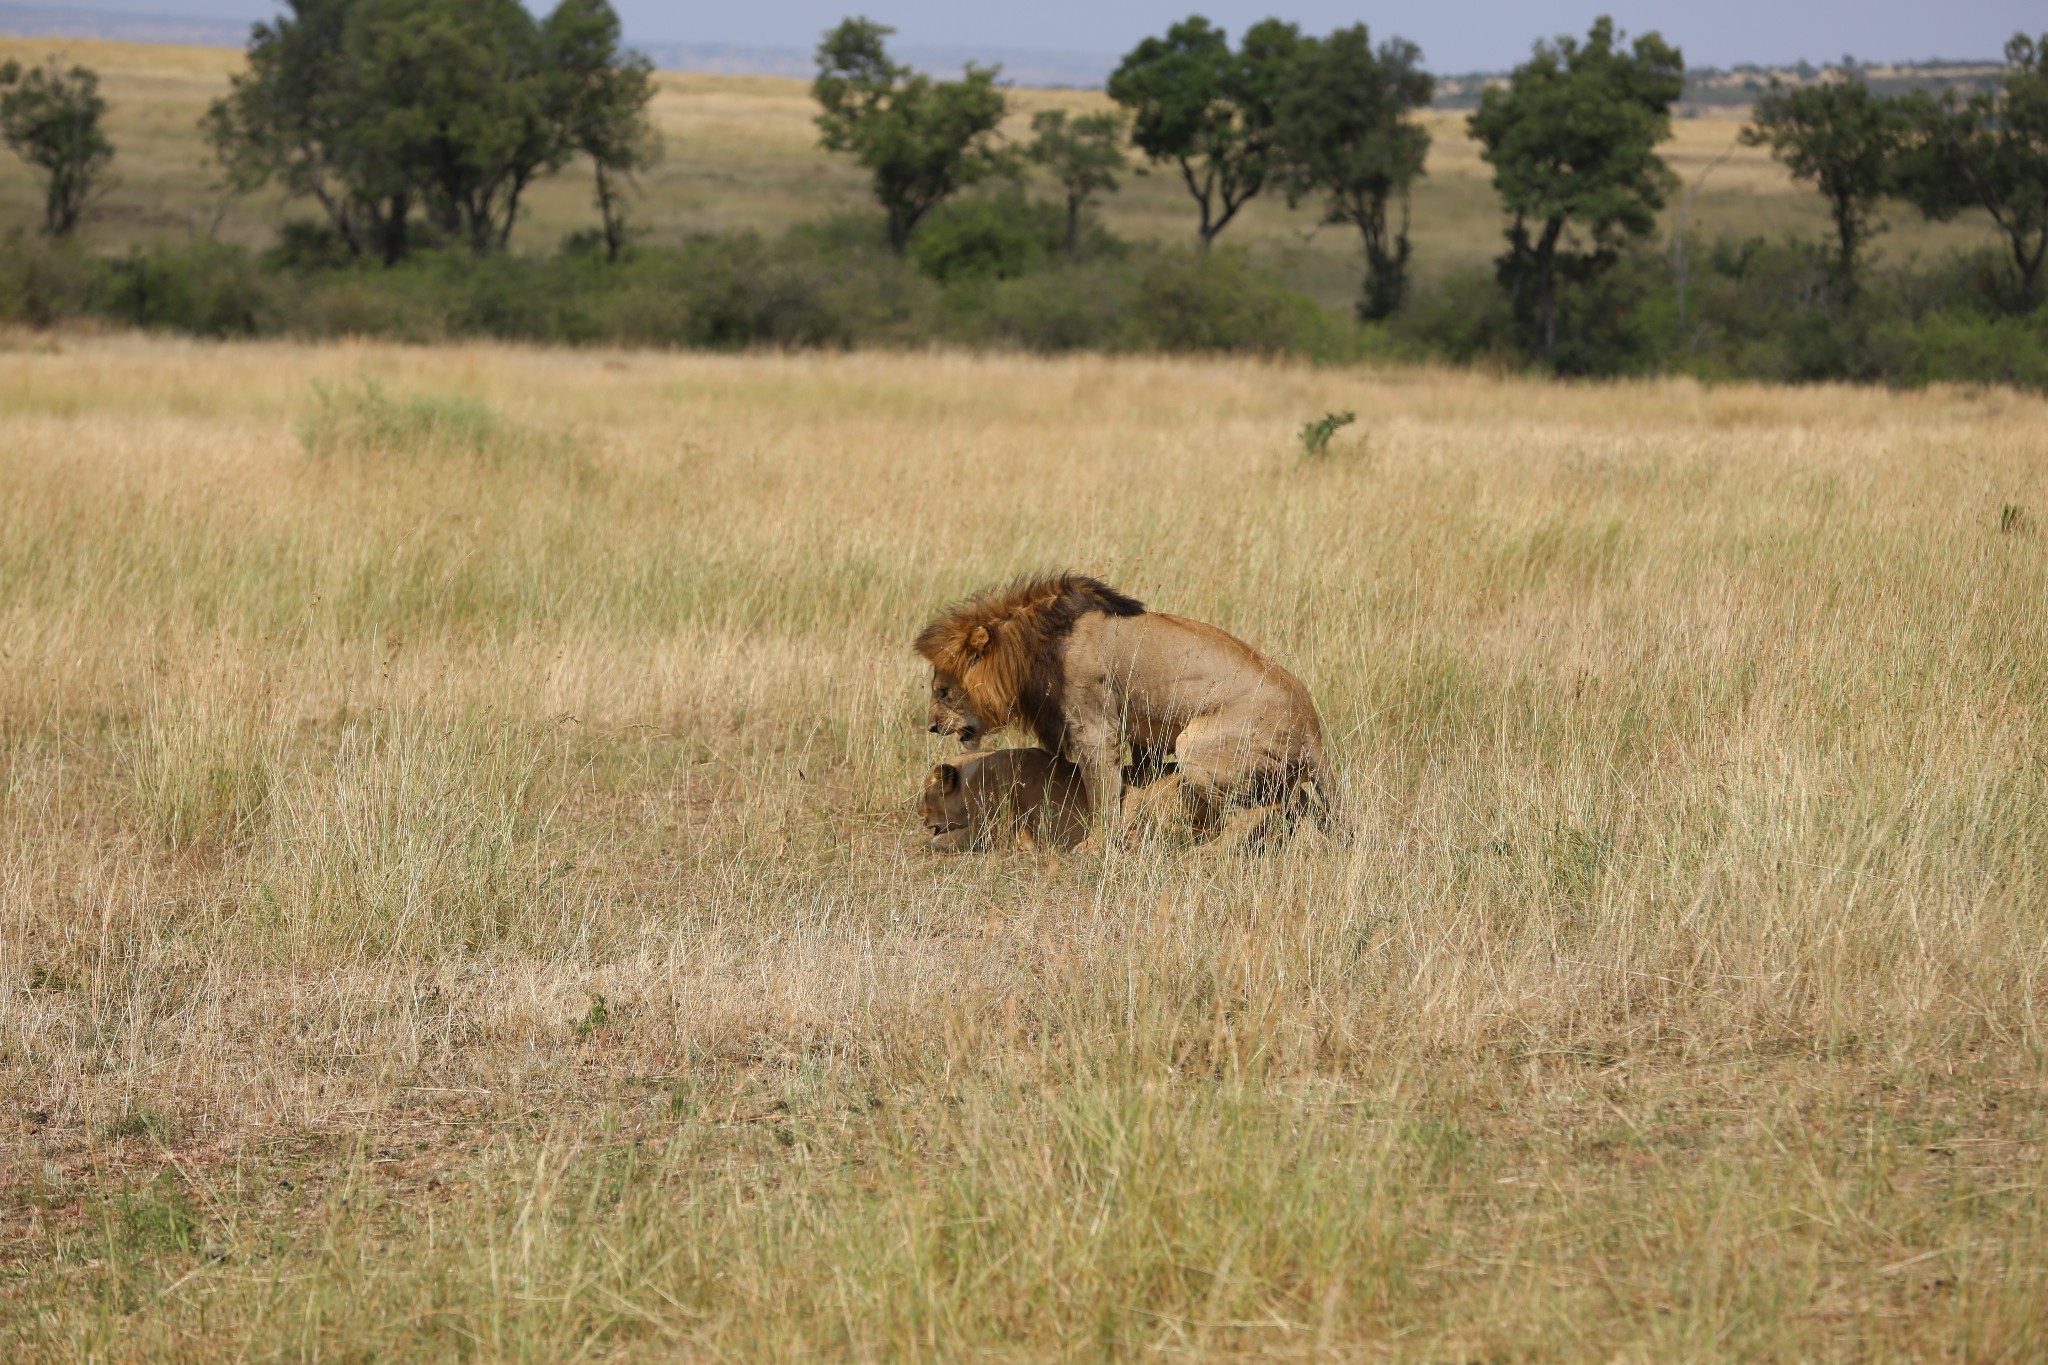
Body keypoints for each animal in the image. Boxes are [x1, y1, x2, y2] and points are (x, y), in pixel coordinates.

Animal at [913, 573, 1327, 843]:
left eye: (943, 692)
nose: (931, 726)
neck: (1034, 647)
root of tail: (1314, 733)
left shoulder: (1095, 731)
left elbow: (1102, 796)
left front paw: (1096, 846)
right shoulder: (1144, 734)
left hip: (1196, 744)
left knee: (1259, 811)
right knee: (1296, 802)